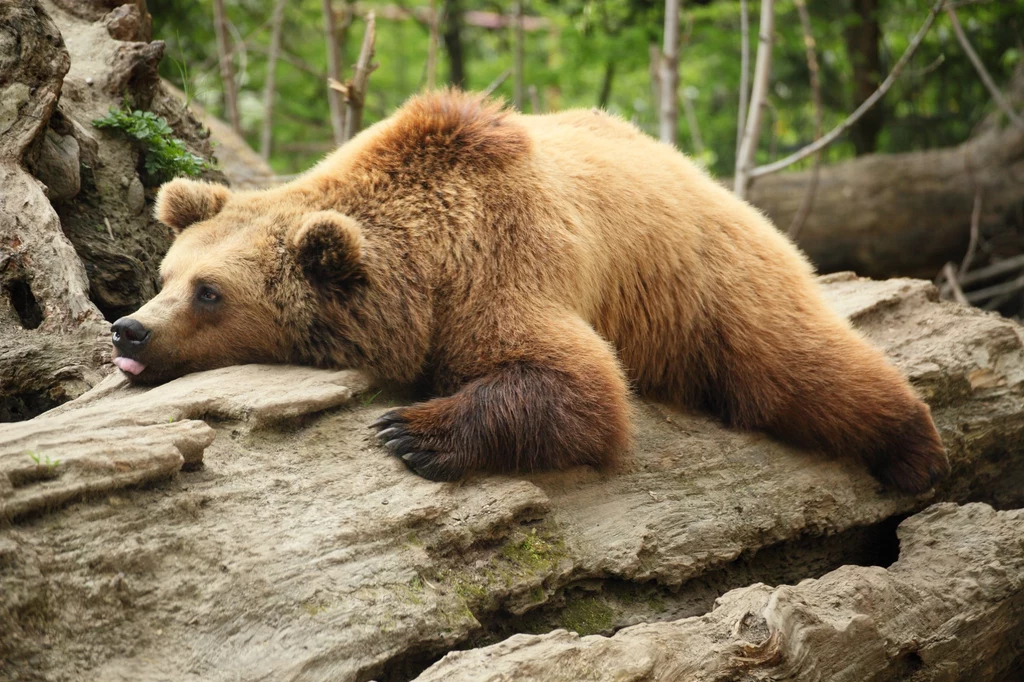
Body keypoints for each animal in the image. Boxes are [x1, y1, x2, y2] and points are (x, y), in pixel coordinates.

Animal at [110, 91, 942, 493]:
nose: (128, 330)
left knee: (797, 367)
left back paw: (918, 451)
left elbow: (577, 382)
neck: (425, 268)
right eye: (166, 277)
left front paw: (413, 432)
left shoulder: (500, 266)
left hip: (709, 283)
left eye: (210, 293)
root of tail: (699, 173)